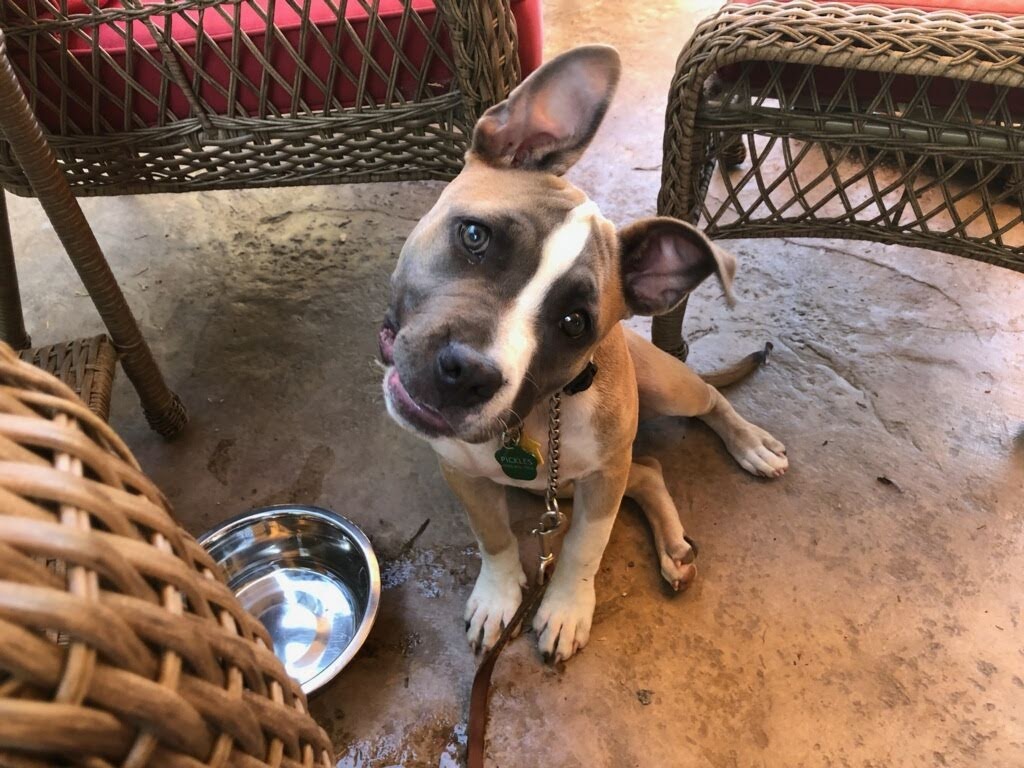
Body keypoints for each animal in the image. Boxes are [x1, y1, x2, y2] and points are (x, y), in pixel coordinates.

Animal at [380, 45, 786, 663]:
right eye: (474, 236)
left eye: (575, 324)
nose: (467, 374)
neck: (533, 417)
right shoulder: (461, 472)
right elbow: (494, 537)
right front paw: (499, 596)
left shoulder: (601, 480)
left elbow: (582, 546)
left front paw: (567, 607)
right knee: (648, 471)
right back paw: (674, 548)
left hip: (665, 389)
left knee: (706, 405)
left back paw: (750, 445)